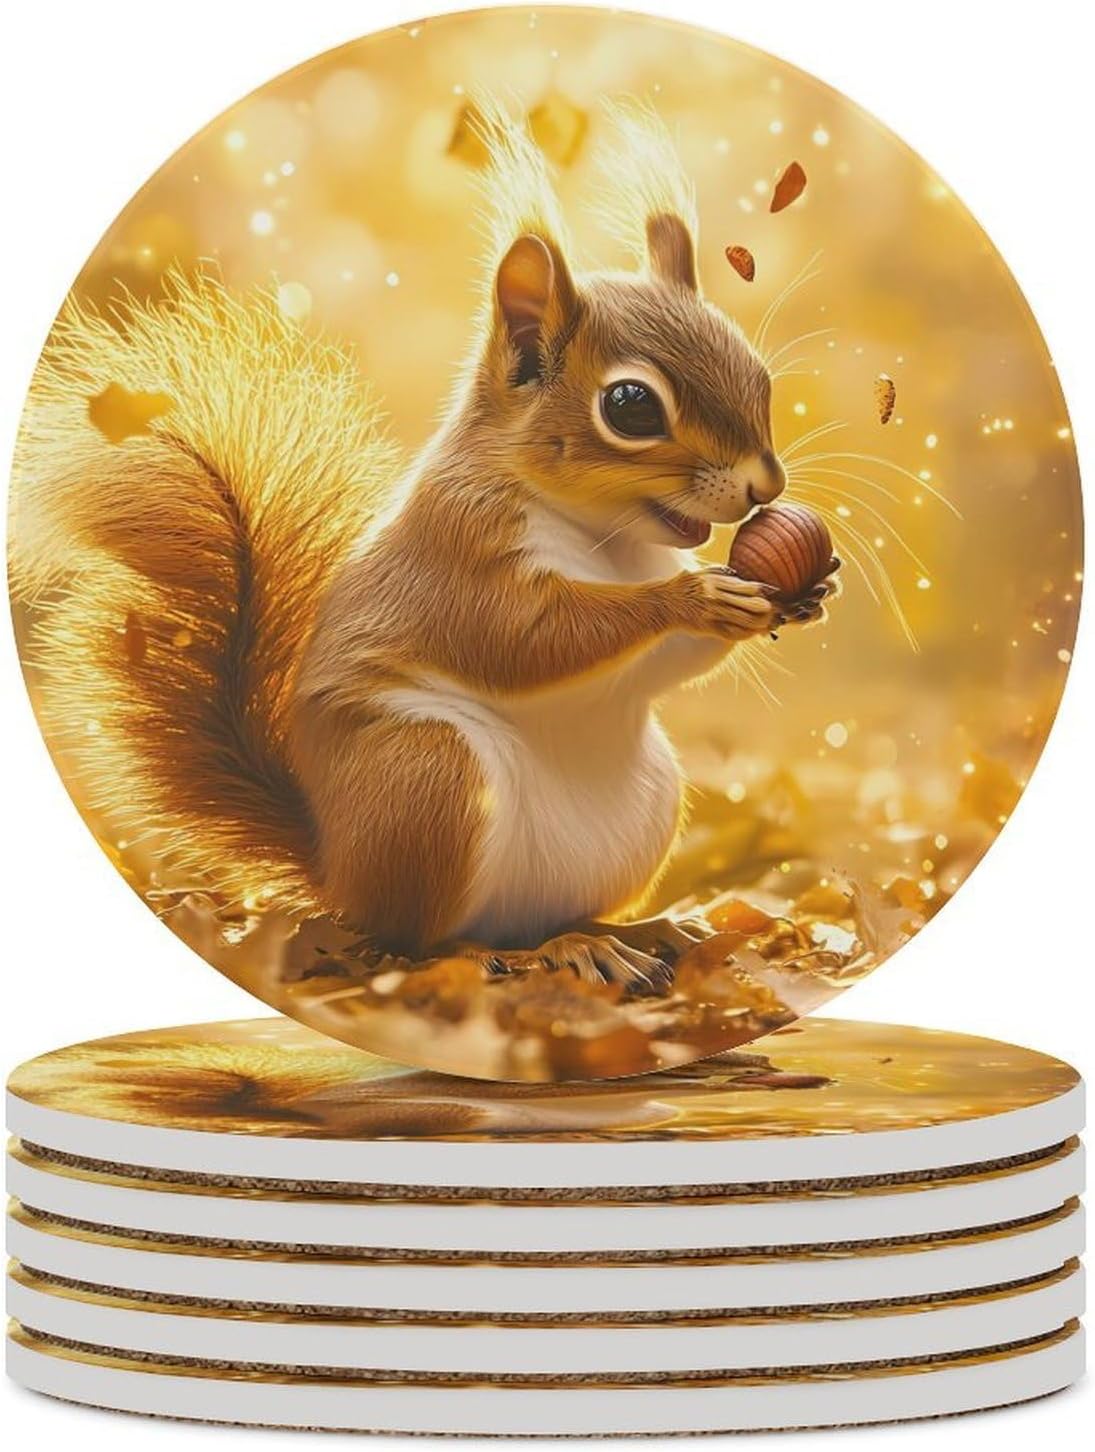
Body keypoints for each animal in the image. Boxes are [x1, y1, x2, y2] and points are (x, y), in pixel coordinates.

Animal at [11, 108, 836, 991]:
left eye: (758, 373)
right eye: (630, 406)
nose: (766, 483)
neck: (603, 540)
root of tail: (338, 871)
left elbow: (660, 666)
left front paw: (798, 594)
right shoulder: (458, 557)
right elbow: (525, 638)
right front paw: (692, 598)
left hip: (641, 805)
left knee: (535, 915)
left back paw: (628, 931)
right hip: (424, 778)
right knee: (425, 940)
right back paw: (535, 953)